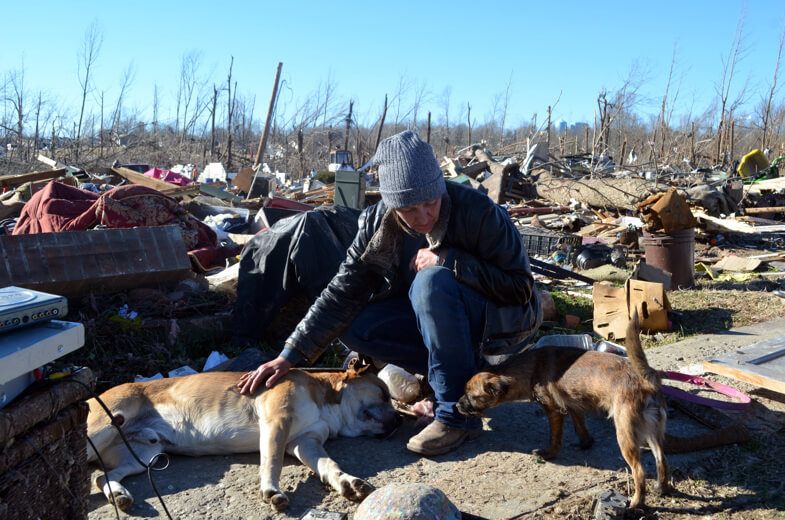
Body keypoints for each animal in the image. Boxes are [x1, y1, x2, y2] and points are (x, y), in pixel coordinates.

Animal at [87, 362, 398, 512]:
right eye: (384, 394)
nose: (398, 422)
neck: (326, 399)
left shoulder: (305, 442)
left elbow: (329, 465)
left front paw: (347, 481)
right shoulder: (276, 421)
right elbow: (272, 462)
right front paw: (271, 490)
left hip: (146, 456)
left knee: (101, 476)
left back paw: (118, 494)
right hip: (103, 428)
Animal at [454, 310, 668, 510]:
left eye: (471, 397)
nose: (457, 405)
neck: (529, 368)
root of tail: (646, 382)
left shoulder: (554, 411)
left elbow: (555, 439)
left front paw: (548, 454)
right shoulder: (573, 406)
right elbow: (580, 427)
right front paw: (586, 443)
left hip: (625, 434)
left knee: (639, 471)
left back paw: (637, 502)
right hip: (653, 433)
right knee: (662, 459)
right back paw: (661, 488)